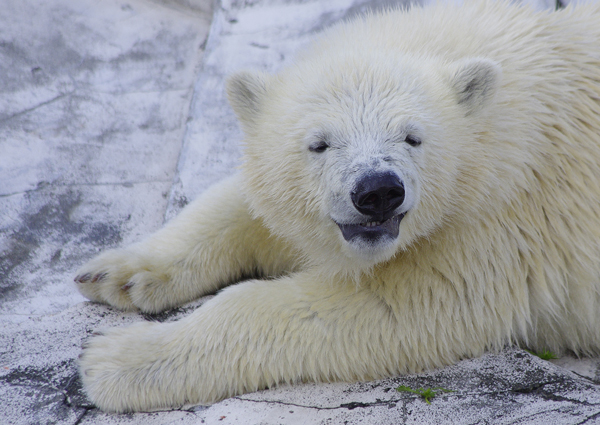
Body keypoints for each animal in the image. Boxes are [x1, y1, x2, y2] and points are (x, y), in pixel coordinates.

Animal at [75, 0, 600, 412]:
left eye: (412, 137)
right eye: (320, 144)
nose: (377, 192)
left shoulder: (499, 219)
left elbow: (399, 306)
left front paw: (115, 359)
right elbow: (246, 205)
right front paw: (117, 273)